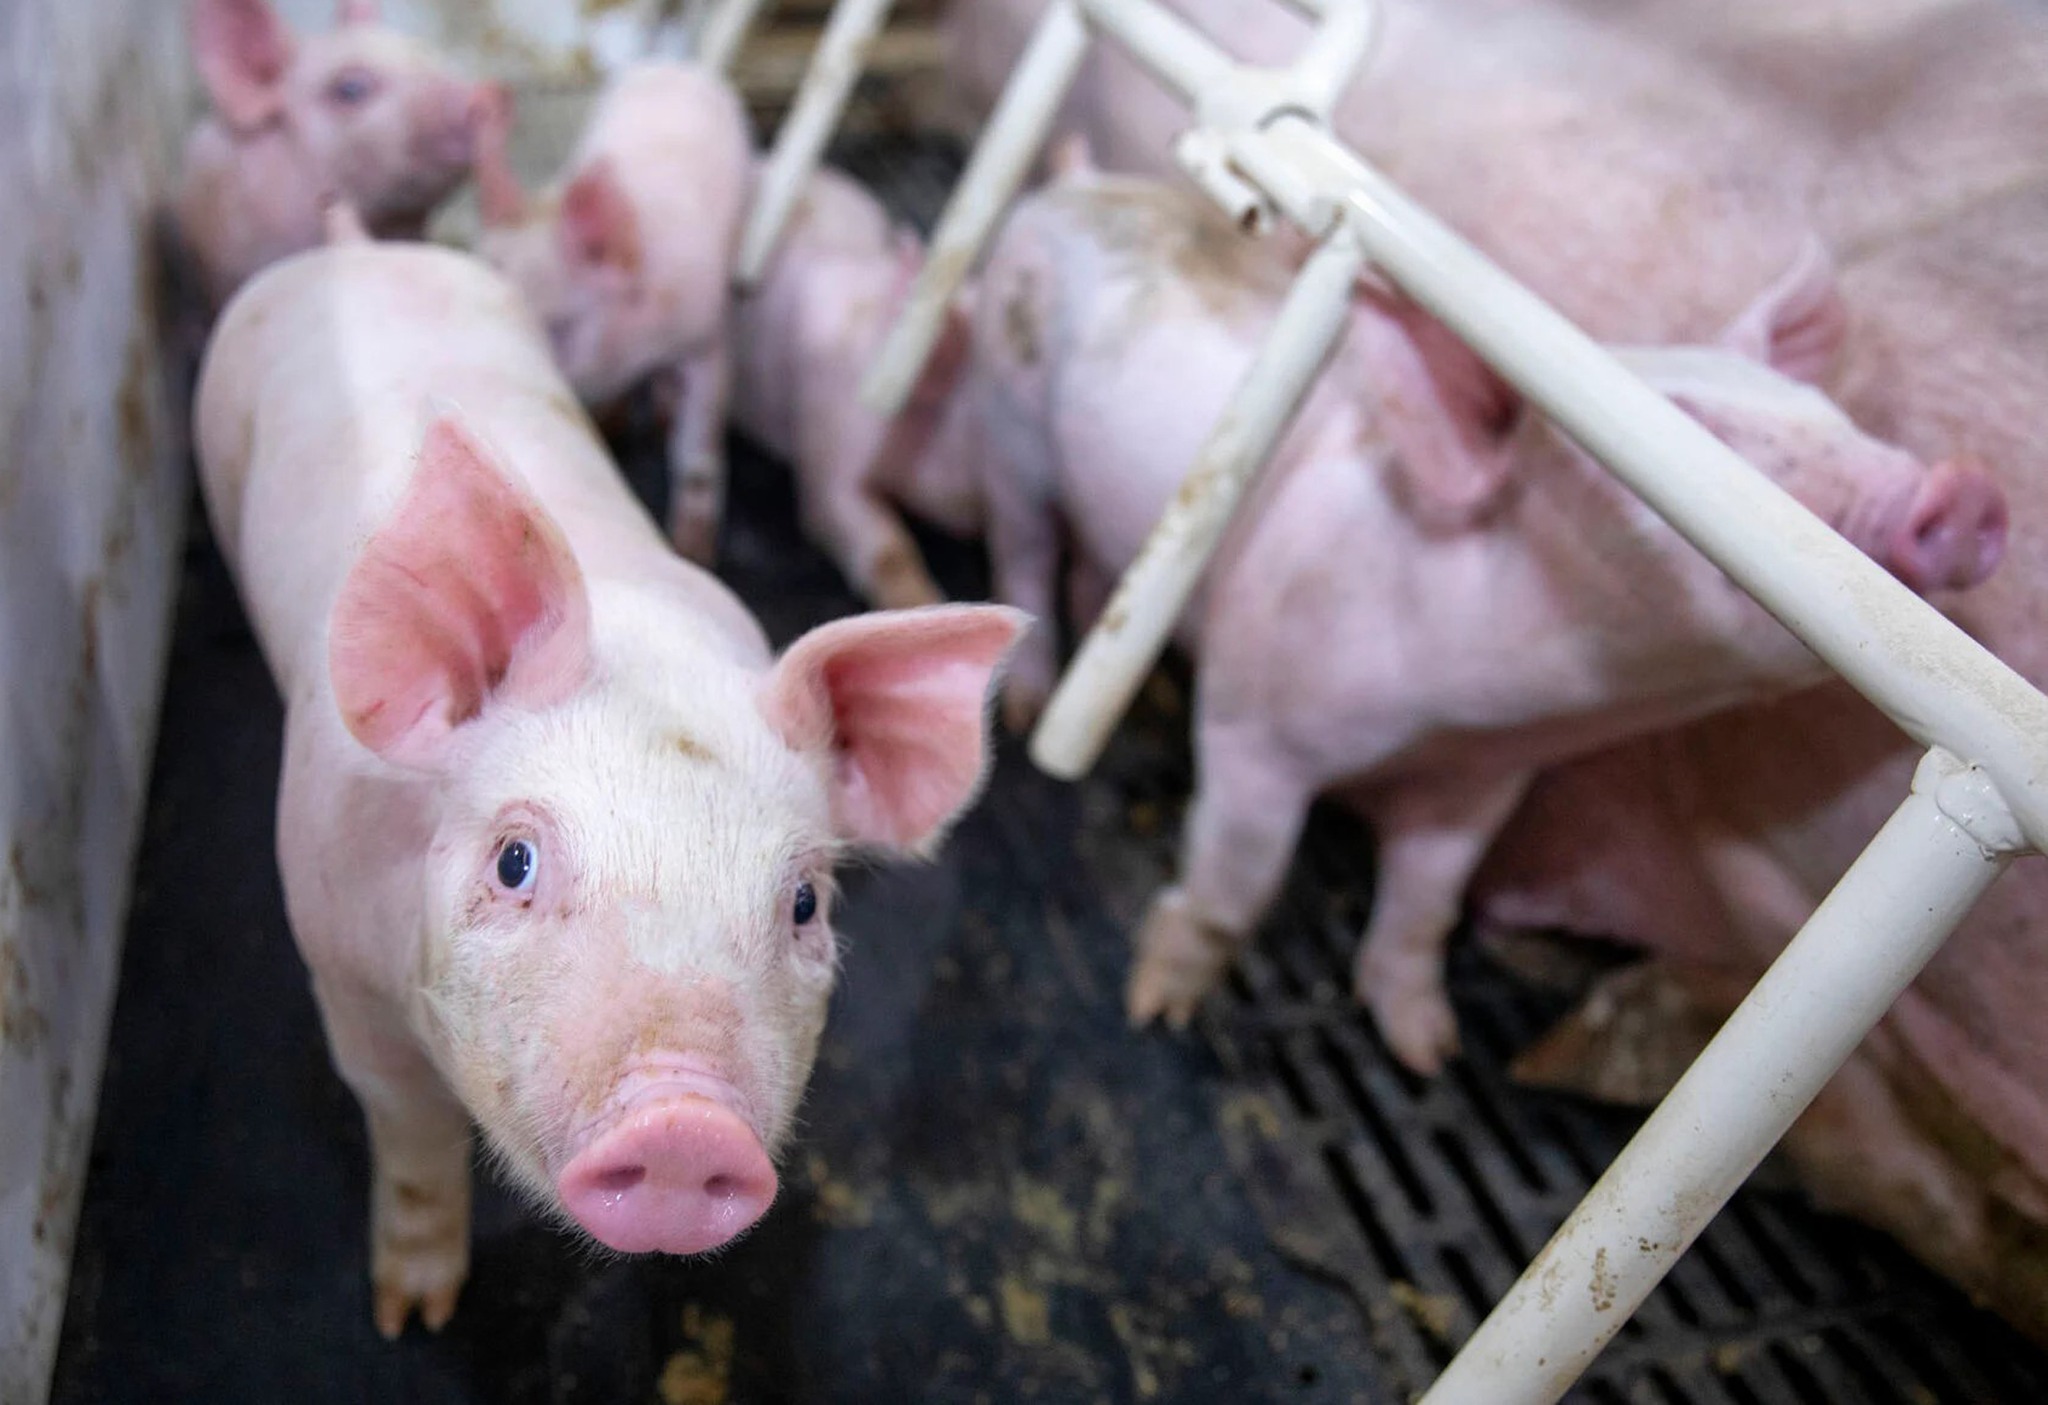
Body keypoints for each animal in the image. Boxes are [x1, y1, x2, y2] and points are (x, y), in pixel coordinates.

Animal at [194, 234, 1024, 1336]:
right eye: (514, 859)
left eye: (805, 901)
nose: (685, 1124)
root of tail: (348, 241)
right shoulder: (340, 971)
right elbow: (409, 1138)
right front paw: (414, 1316)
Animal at [471, 63, 753, 566]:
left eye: (561, 325)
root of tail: (678, 67)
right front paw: (608, 423)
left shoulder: (707, 336)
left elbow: (696, 450)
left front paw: (693, 552)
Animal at [968, 162, 2004, 1074]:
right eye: (1693, 429)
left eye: (1828, 411)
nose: (1962, 490)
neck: (1458, 719)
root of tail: (1074, 185)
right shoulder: (1251, 726)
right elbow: (1239, 883)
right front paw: (1159, 1006)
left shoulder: (1480, 784)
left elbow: (1428, 905)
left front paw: (1429, 1052)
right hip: (1011, 424)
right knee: (1022, 547)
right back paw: (1028, 706)